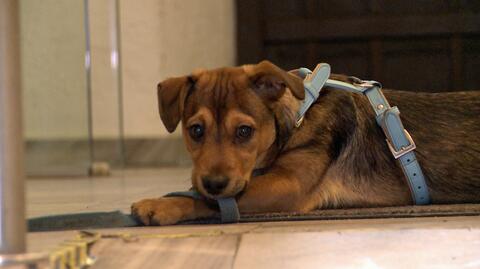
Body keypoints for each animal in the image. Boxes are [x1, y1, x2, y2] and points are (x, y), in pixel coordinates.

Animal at [130, 60, 480, 224]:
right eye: (196, 130)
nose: (214, 182)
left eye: (244, 131)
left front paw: (160, 204)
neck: (298, 115)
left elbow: (212, 201)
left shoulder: (287, 185)